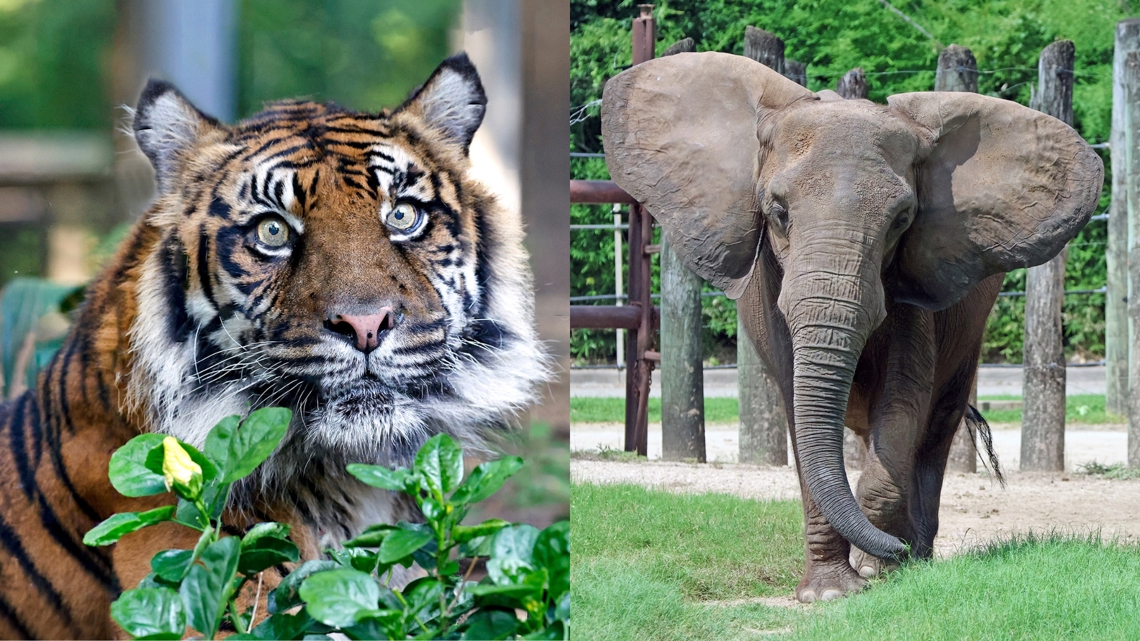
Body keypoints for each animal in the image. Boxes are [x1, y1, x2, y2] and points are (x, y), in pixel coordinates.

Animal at [601, 52, 1103, 602]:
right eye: (778, 212)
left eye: (902, 219)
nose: (894, 553)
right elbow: (802, 413)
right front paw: (830, 594)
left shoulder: (911, 281)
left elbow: (904, 400)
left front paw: (882, 567)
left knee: (936, 427)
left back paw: (915, 553)